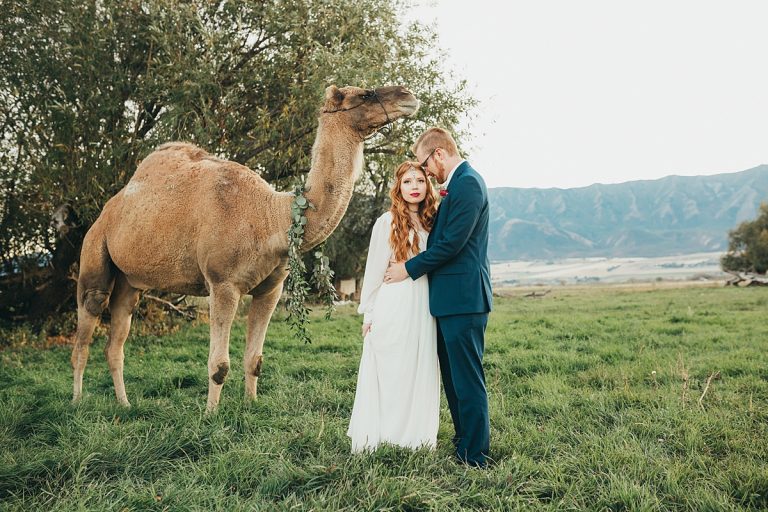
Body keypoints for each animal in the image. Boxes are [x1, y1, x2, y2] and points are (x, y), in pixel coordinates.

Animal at [72, 85, 420, 412]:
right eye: (365, 94)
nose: (408, 96)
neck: (271, 217)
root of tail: (107, 210)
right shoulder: (222, 283)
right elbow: (219, 364)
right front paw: (210, 416)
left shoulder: (271, 290)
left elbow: (255, 359)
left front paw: (251, 405)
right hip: (95, 253)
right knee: (85, 329)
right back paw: (76, 403)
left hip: (130, 282)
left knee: (116, 341)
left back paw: (124, 404)